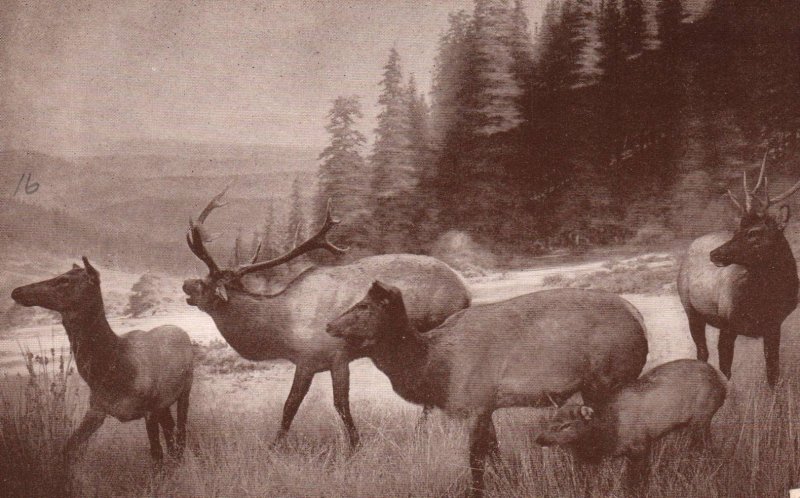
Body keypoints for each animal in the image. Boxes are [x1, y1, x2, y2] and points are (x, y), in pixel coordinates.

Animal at [10, 258, 194, 464]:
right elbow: (67, 448)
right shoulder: (97, 408)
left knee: (180, 434)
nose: (17, 291)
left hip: (184, 390)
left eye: (64, 280)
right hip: (164, 402)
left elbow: (156, 455)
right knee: (171, 431)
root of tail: (181, 331)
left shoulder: (149, 408)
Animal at [181, 188, 468, 448]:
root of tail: (465, 292)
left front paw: (354, 445)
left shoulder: (334, 356)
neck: (281, 331)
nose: (185, 284)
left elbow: (321, 404)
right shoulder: (309, 361)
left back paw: (423, 430)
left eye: (204, 284)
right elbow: (294, 406)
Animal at [324, 282, 648, 496]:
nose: (328, 325)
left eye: (364, 306)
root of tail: (638, 315)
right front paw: (507, 482)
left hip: (607, 381)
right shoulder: (487, 406)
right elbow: (495, 451)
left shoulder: (475, 405)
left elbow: (476, 462)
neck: (434, 368)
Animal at [676, 155, 800, 386]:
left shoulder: (774, 325)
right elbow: (725, 372)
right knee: (702, 352)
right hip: (690, 309)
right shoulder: (727, 324)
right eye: (737, 230)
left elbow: (773, 373)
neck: (764, 302)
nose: (714, 254)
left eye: (754, 232)